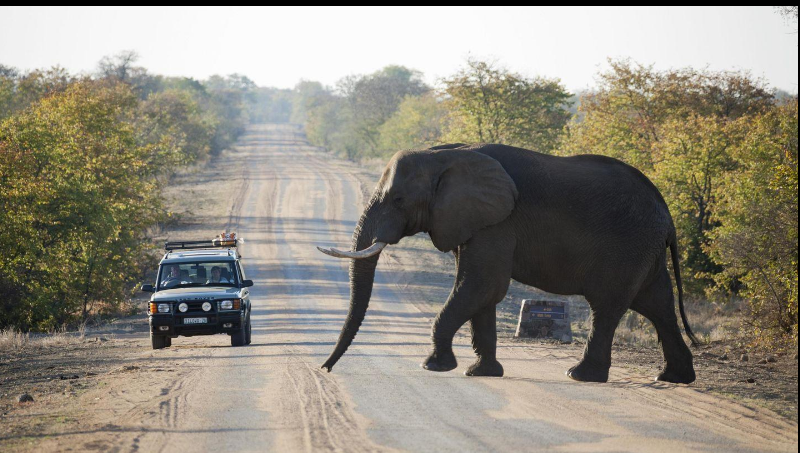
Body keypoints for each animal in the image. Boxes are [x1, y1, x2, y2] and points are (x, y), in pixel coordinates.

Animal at [317, 143, 699, 384]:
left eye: (398, 200)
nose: (325, 369)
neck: (444, 154)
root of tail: (667, 215)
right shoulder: (475, 221)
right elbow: (480, 292)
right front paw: (481, 373)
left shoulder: (499, 222)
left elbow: (481, 284)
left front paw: (434, 367)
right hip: (645, 251)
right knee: (658, 306)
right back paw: (673, 378)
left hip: (628, 247)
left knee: (607, 307)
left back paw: (580, 375)